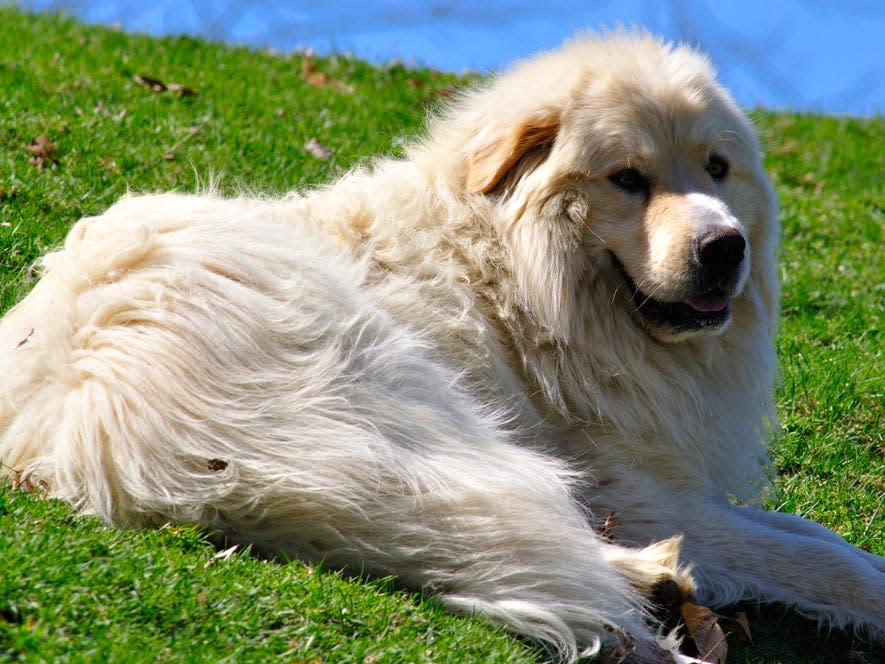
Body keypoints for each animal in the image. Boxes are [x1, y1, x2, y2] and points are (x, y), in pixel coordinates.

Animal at [1, 29, 884, 660]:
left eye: (716, 167)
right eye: (627, 180)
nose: (724, 247)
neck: (515, 277)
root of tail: (84, 403)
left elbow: (814, 536)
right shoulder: (637, 492)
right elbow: (820, 559)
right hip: (393, 387)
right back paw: (647, 580)